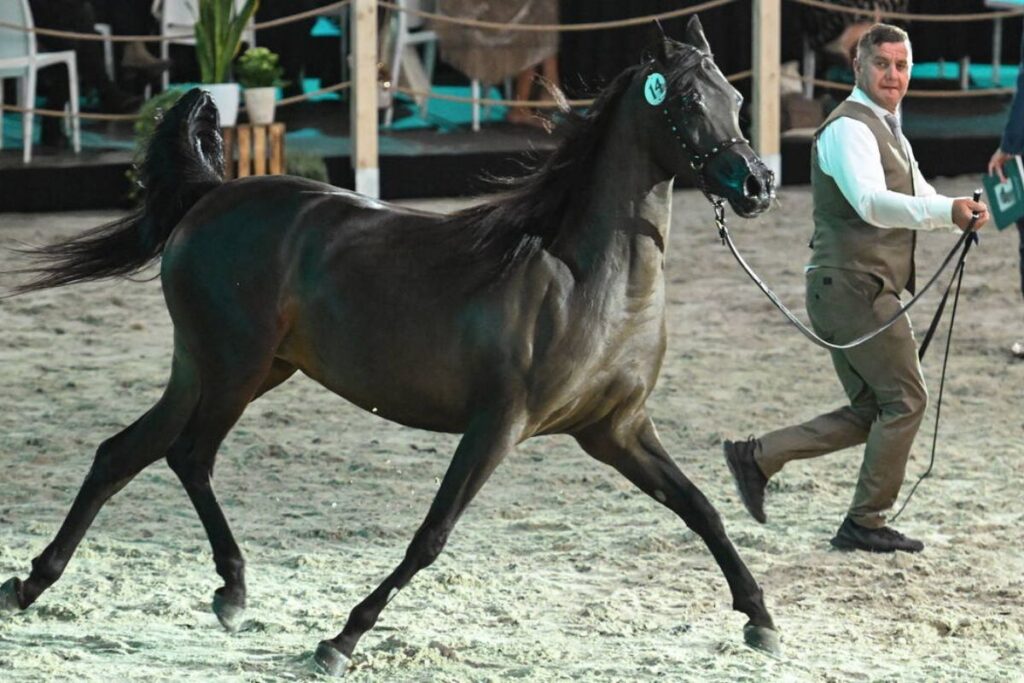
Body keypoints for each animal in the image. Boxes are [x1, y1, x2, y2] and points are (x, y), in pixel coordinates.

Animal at [2, 17, 774, 679]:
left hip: (213, 369)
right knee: (188, 457)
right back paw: (231, 591)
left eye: (737, 97)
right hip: (234, 370)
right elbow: (431, 535)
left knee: (121, 453)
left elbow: (699, 506)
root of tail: (209, 196)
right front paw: (339, 639)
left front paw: (760, 620)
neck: (587, 281)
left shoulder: (615, 429)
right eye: (685, 99)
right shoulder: (499, 424)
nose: (758, 183)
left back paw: (32, 583)